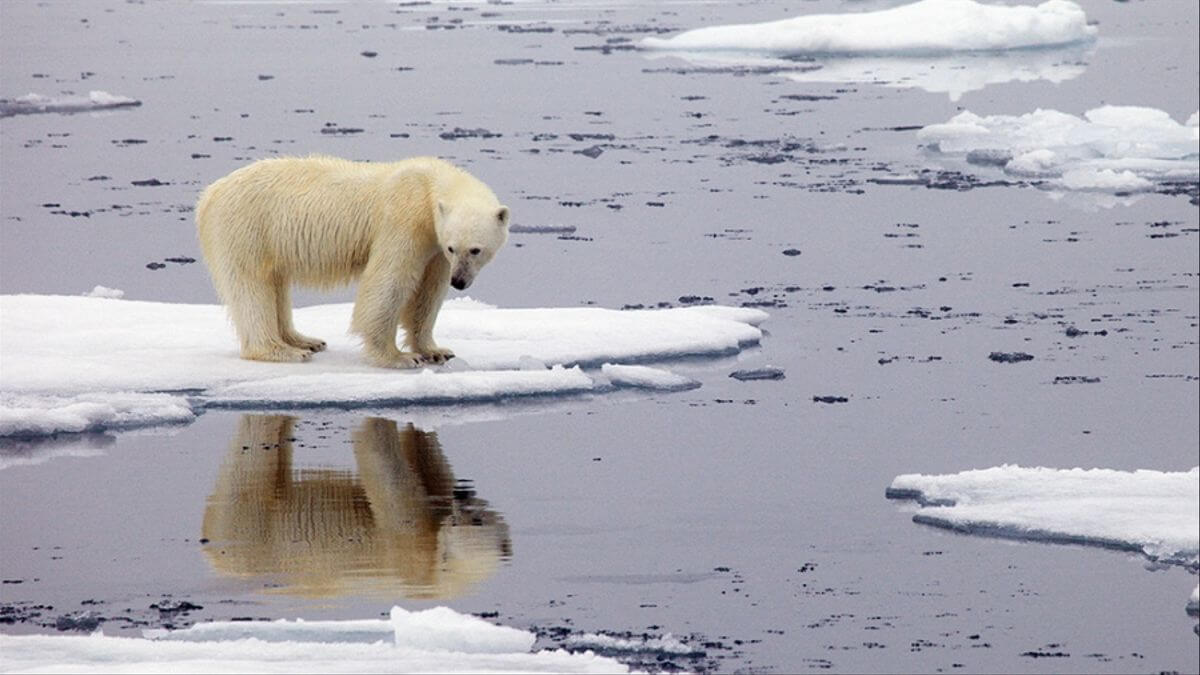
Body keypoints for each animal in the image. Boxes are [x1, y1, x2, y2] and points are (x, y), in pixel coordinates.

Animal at [193, 154, 511, 365]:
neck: (427, 185)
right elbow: (389, 280)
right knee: (251, 286)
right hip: (247, 227)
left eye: (475, 250)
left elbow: (429, 292)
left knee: (275, 285)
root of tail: (210, 194)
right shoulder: (404, 221)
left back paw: (305, 340)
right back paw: (282, 350)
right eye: (454, 248)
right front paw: (399, 357)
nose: (460, 281)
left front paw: (435, 350)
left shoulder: (432, 244)